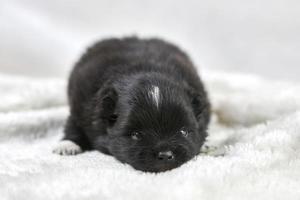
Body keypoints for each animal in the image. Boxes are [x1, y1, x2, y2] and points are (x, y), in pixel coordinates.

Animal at [52, 36, 210, 172]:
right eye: (136, 135)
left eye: (183, 132)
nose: (165, 155)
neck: (146, 68)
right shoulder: (81, 107)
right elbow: (73, 124)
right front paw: (67, 144)